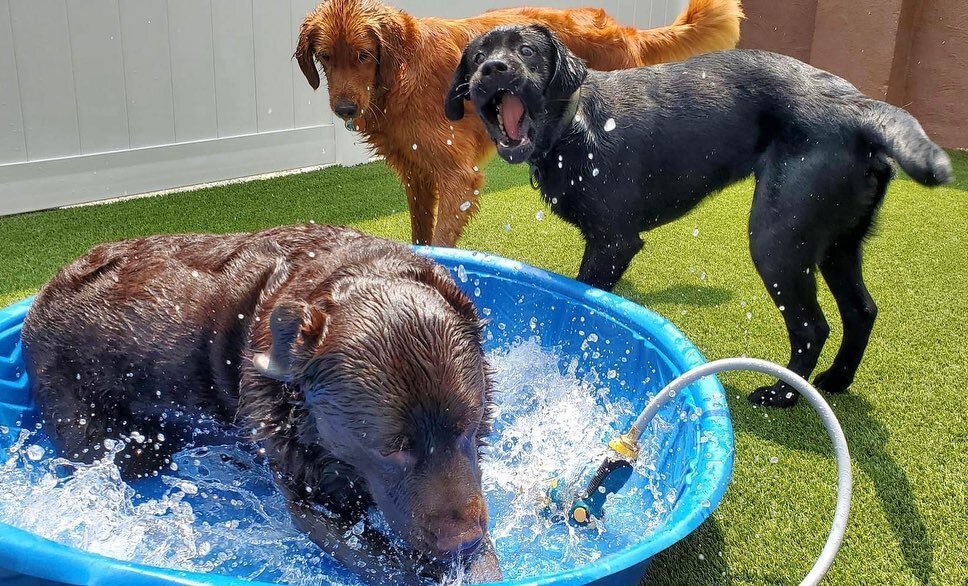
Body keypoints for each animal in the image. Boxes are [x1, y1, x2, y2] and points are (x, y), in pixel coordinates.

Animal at [446, 24, 952, 406]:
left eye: (527, 51)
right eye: (476, 57)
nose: (493, 69)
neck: (575, 124)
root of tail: (858, 108)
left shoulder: (613, 242)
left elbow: (582, 305)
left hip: (778, 241)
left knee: (813, 326)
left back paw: (782, 396)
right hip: (837, 242)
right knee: (862, 310)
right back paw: (837, 380)